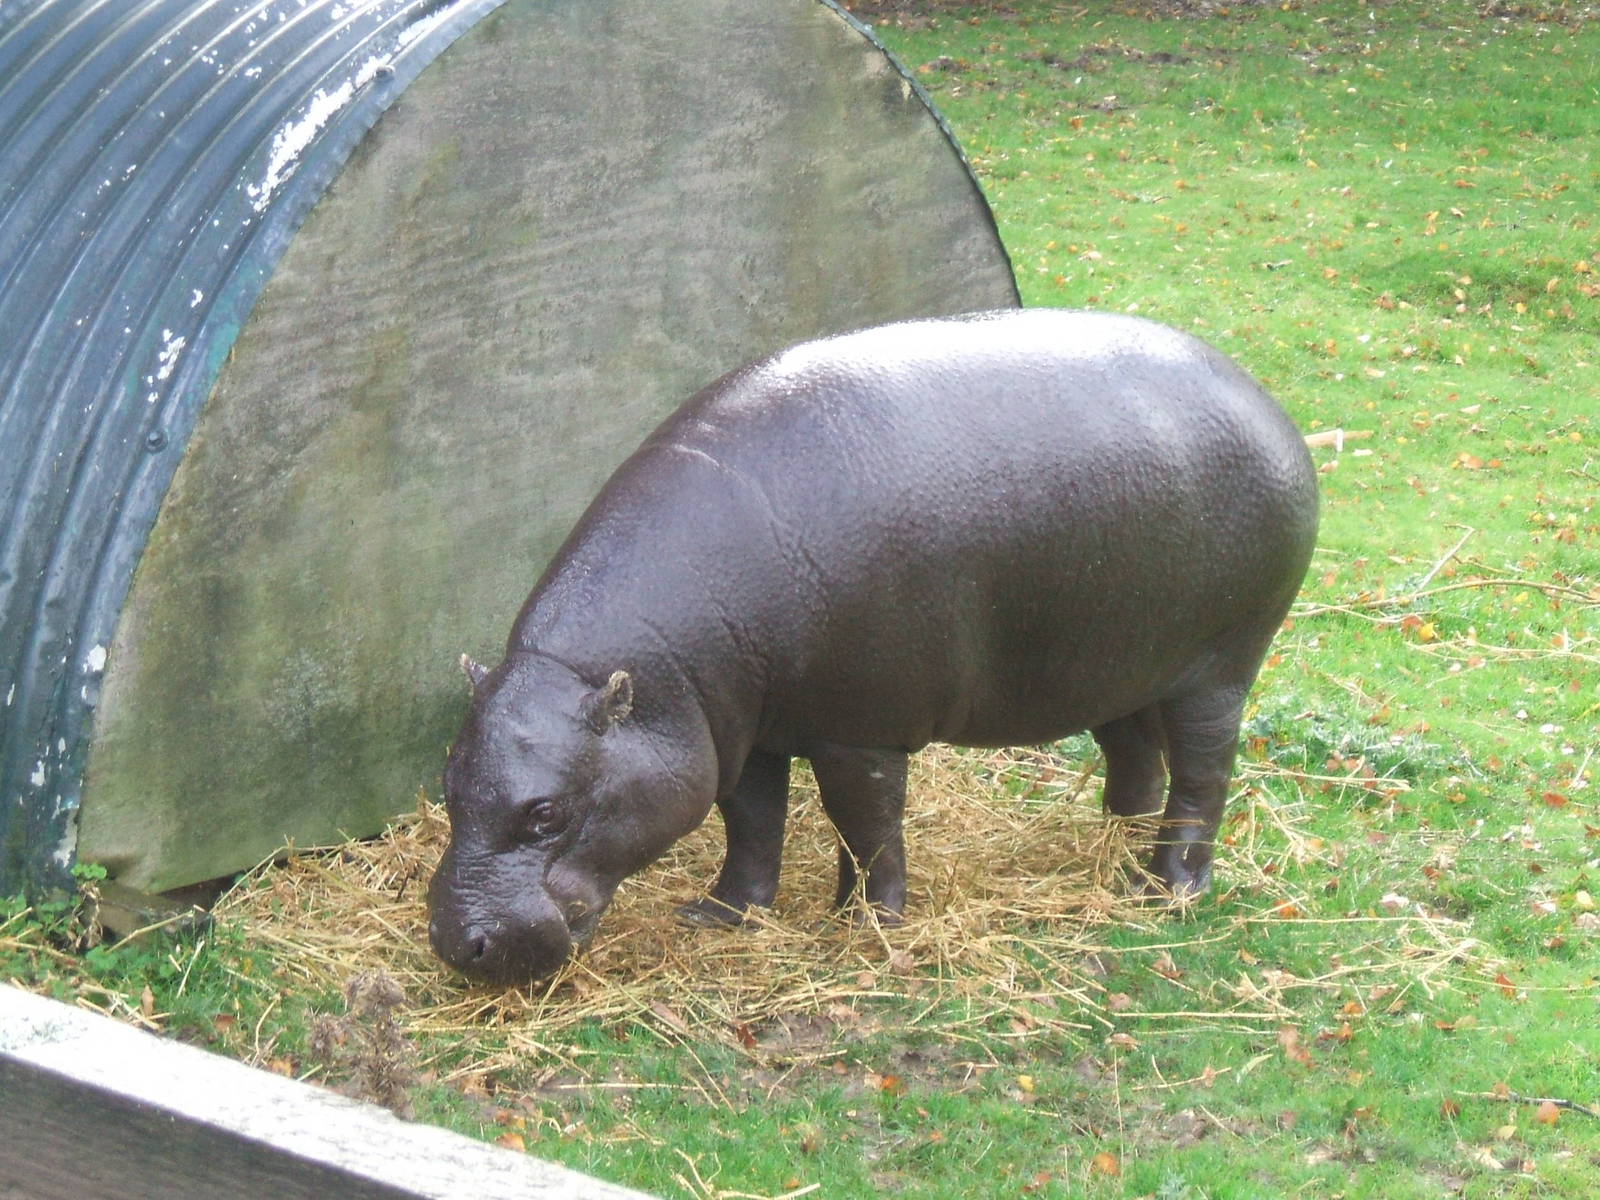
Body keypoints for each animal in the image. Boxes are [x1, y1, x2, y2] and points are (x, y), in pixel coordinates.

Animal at [428, 309, 1319, 985]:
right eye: (447, 783)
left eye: (546, 814)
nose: (455, 943)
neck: (647, 671)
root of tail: (1263, 399)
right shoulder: (742, 730)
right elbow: (751, 821)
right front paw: (721, 914)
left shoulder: (859, 731)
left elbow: (865, 822)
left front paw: (866, 925)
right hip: (1117, 660)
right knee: (1137, 755)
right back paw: (1111, 852)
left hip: (1219, 665)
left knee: (1204, 772)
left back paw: (1165, 889)